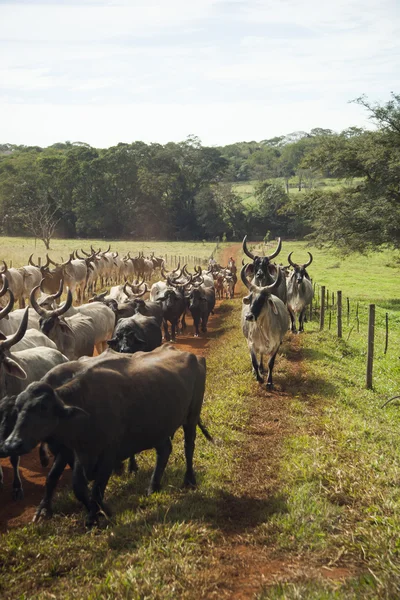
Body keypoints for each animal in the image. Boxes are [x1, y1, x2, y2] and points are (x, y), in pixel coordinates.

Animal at [4, 344, 211, 528]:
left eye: (43, 408)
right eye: (18, 409)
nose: (12, 444)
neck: (85, 409)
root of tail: (194, 357)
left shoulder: (107, 454)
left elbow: (96, 488)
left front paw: (93, 518)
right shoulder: (79, 452)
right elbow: (76, 485)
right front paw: (102, 511)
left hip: (191, 416)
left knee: (189, 446)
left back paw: (189, 480)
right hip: (158, 426)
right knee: (165, 450)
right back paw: (153, 486)